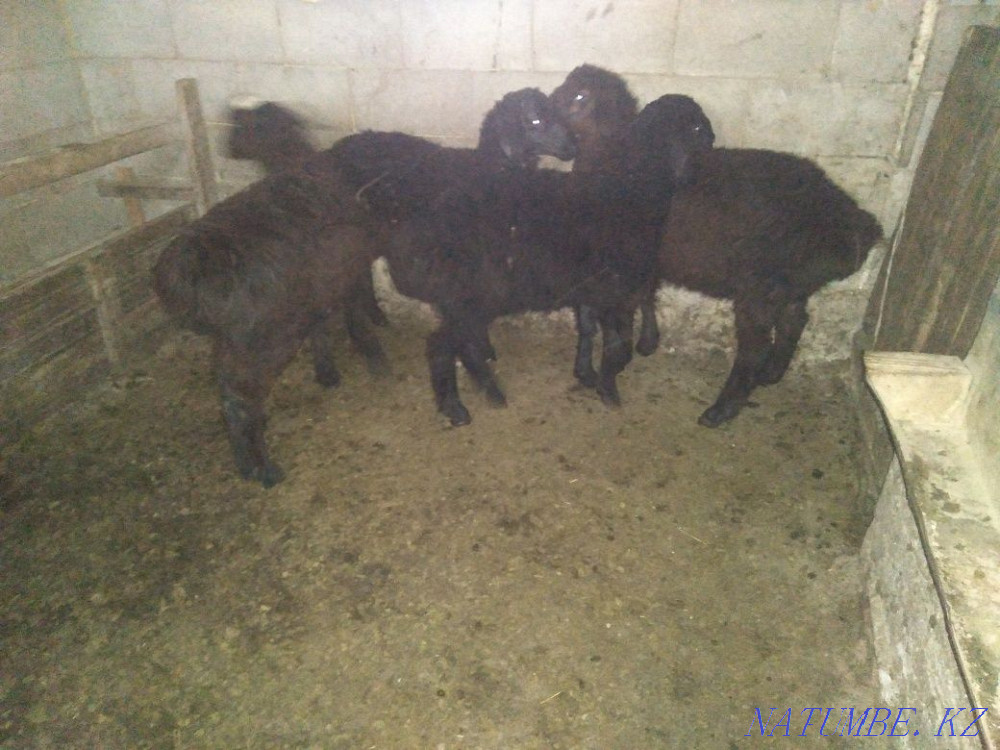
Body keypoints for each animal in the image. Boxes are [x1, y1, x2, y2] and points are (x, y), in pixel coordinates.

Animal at [551, 64, 883, 427]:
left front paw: (604, 380)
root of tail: (852, 221)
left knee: (753, 349)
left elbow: (605, 324)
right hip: (790, 285)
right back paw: (770, 375)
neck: (613, 157)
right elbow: (637, 301)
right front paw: (643, 345)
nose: (543, 110)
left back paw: (722, 409)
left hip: (760, 288)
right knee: (794, 322)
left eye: (579, 95)